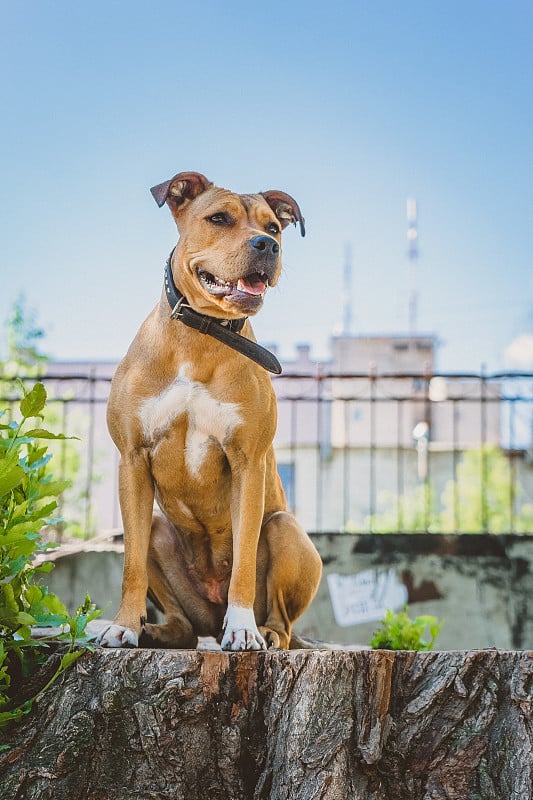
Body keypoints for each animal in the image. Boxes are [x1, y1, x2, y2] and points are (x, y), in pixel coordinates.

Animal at [96, 173, 320, 648]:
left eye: (273, 227)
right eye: (219, 219)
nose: (266, 245)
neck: (200, 334)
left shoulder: (248, 462)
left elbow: (243, 563)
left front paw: (243, 630)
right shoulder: (133, 458)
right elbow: (131, 566)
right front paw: (124, 625)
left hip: (285, 528)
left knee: (284, 621)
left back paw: (264, 631)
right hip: (159, 532)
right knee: (184, 623)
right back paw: (154, 631)